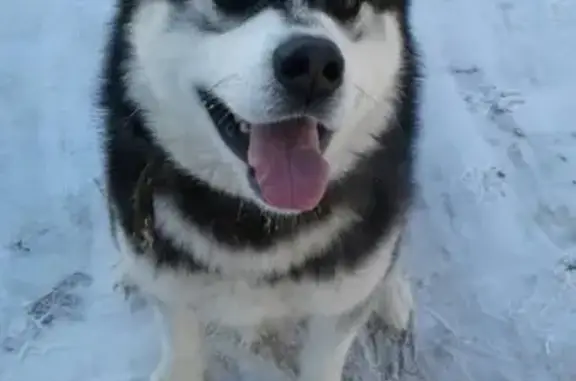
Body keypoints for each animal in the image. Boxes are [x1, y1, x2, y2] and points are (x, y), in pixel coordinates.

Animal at [101, 0, 418, 378]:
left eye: (348, 5)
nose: (313, 64)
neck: (256, 224)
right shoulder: (170, 287)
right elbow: (179, 346)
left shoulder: (339, 305)